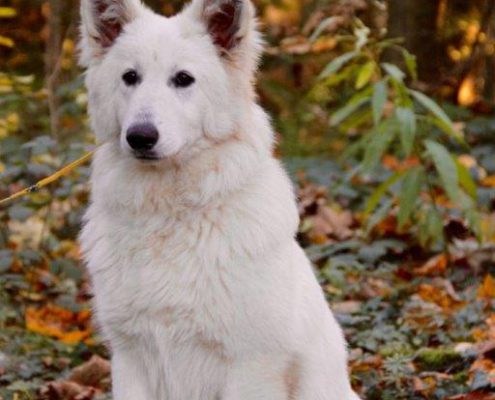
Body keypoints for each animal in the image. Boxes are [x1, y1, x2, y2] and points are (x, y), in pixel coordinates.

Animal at [78, 0, 360, 398]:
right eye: (130, 77)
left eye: (183, 79)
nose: (140, 137)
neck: (169, 214)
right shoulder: (130, 357)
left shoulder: (249, 365)